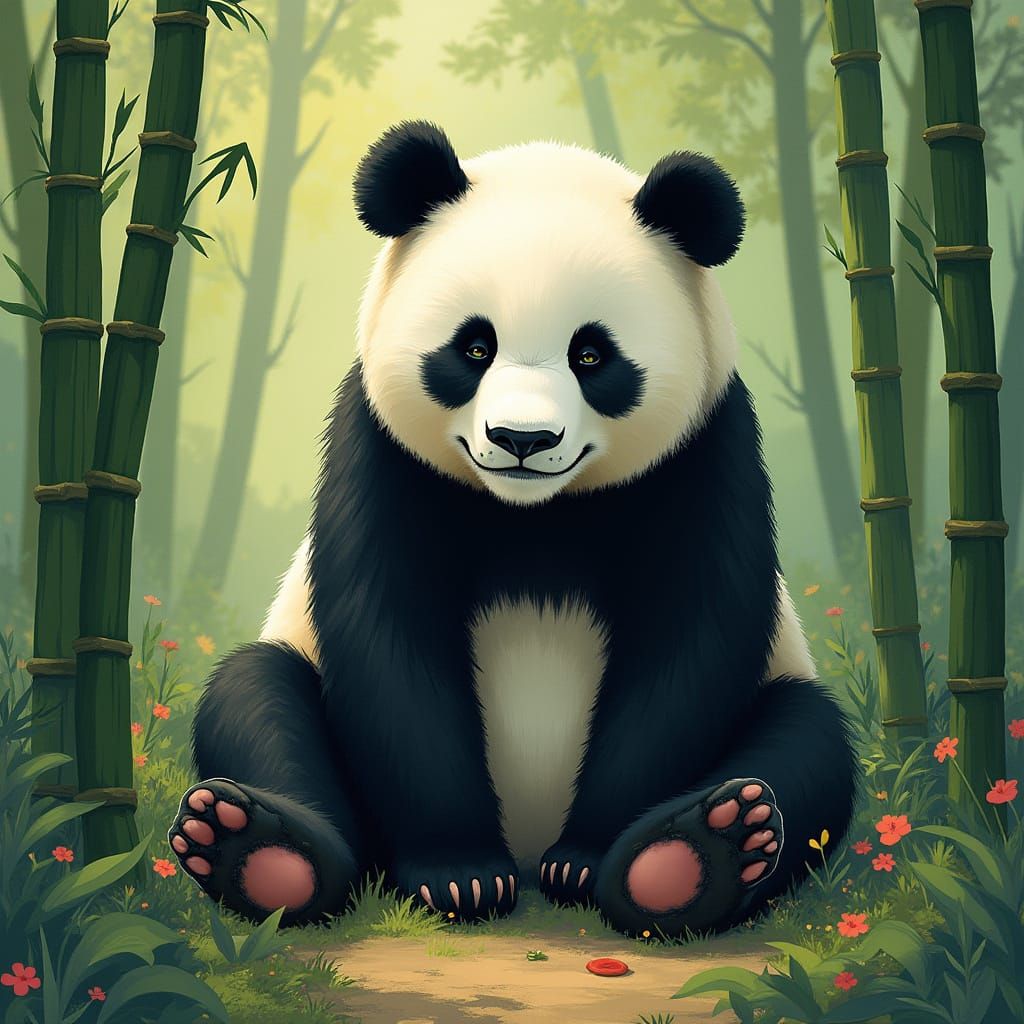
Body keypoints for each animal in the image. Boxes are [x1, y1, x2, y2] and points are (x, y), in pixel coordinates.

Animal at [169, 121, 857, 938]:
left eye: (591, 355)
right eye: (474, 347)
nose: (522, 439)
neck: (535, 514)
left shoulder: (704, 453)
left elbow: (687, 645)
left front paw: (588, 861)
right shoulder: (382, 453)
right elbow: (390, 641)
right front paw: (459, 876)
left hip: (781, 688)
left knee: (809, 738)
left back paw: (692, 857)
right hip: (295, 671)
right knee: (255, 697)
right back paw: (260, 853)